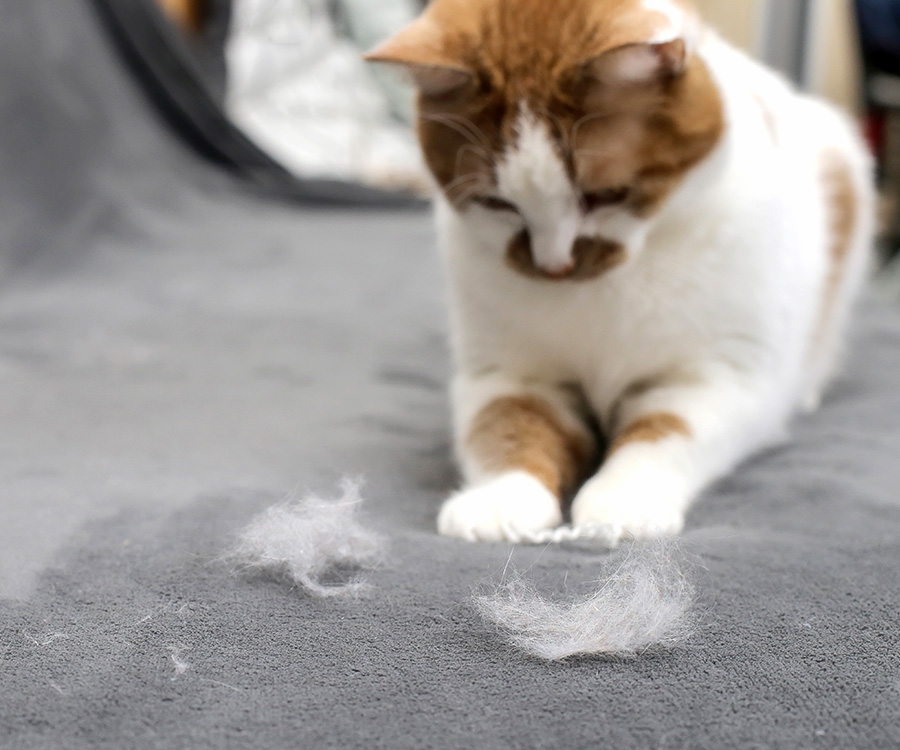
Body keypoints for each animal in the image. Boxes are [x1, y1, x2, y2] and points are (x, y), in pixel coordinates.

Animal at [364, 0, 872, 544]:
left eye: (603, 197)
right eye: (498, 204)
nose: (554, 265)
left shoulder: (720, 377)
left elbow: (666, 431)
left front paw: (625, 497)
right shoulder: (510, 374)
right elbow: (505, 425)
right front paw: (502, 498)